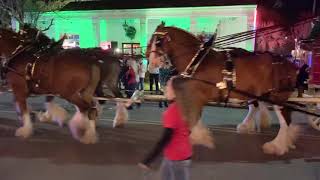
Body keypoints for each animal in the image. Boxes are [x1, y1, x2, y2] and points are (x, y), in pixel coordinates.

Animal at [148, 23, 300, 155]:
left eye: (157, 41)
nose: (150, 63)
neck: (198, 61)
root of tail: (291, 65)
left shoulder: (196, 93)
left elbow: (194, 114)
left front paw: (199, 137)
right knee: (258, 108)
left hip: (277, 97)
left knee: (285, 119)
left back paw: (277, 146)